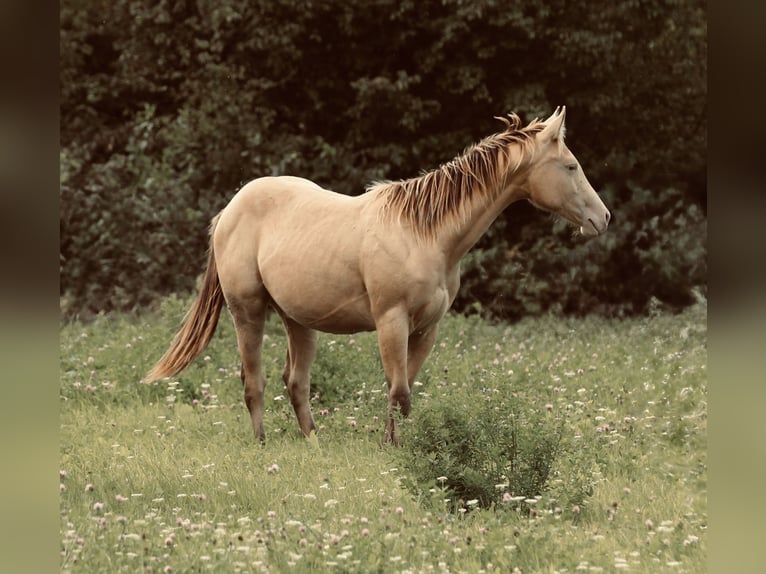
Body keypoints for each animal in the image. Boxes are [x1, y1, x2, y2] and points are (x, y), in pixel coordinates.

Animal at [144, 107, 610, 445]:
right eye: (570, 166)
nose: (602, 218)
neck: (426, 235)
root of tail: (229, 210)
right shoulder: (391, 321)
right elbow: (398, 389)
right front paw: (393, 445)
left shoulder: (426, 329)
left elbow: (403, 390)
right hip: (248, 311)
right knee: (253, 381)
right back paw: (261, 444)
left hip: (298, 321)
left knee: (296, 383)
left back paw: (314, 443)